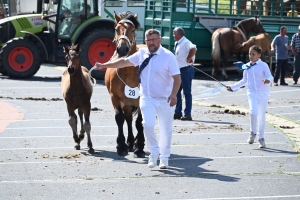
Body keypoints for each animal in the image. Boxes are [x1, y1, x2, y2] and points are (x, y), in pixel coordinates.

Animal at [104, 11, 145, 158]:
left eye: (133, 30)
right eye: (116, 29)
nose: (122, 49)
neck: (128, 70)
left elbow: (140, 122)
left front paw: (140, 147)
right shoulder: (115, 97)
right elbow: (120, 118)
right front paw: (121, 146)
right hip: (126, 102)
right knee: (128, 119)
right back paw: (130, 142)